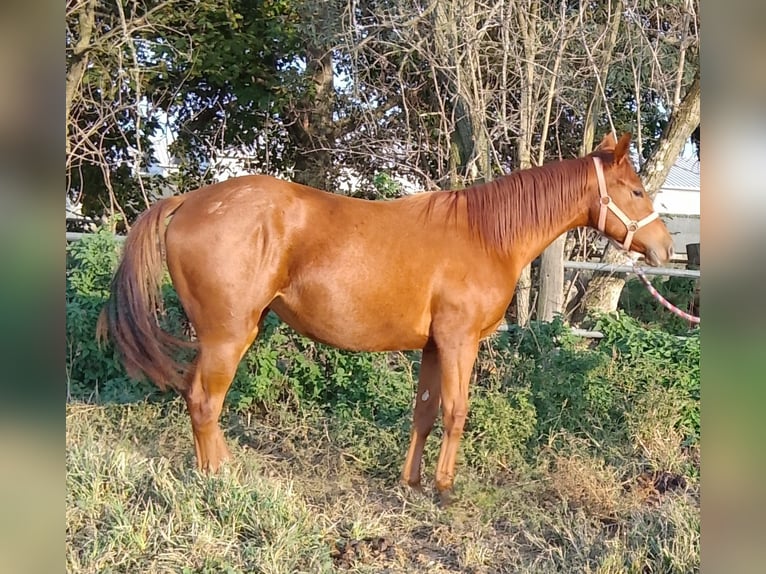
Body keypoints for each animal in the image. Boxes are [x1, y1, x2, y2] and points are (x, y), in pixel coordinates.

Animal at [98, 132, 673, 501]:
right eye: (637, 189)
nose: (666, 248)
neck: (485, 235)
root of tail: (189, 201)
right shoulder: (460, 341)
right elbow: (456, 412)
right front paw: (444, 488)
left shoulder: (434, 345)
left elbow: (423, 413)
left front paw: (412, 482)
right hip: (228, 335)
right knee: (203, 401)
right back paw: (220, 478)